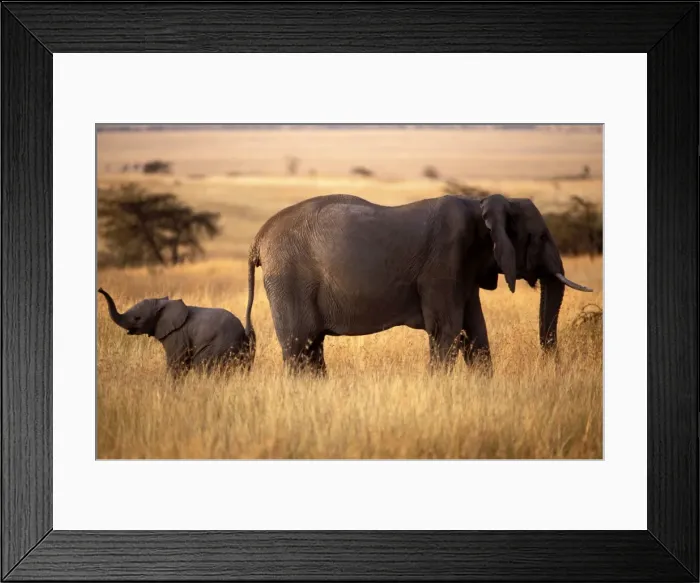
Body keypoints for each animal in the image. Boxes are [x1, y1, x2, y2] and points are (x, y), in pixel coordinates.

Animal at [98, 288, 255, 378]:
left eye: (138, 318)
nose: (99, 289)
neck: (163, 303)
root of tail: (243, 332)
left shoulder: (177, 335)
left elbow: (177, 364)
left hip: (221, 346)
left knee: (203, 367)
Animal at [244, 193, 592, 375]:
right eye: (541, 237)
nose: (552, 367)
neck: (484, 203)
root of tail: (258, 239)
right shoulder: (445, 261)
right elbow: (447, 330)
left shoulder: (463, 270)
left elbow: (476, 332)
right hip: (288, 279)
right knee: (299, 346)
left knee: (312, 347)